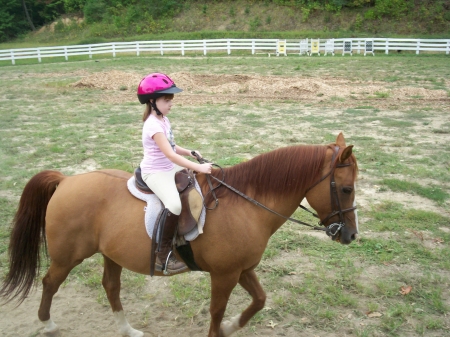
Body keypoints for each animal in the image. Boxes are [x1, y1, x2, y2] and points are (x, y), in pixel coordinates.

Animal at [0, 133, 358, 334]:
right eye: (346, 188)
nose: (351, 236)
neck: (246, 203)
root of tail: (65, 180)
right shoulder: (225, 275)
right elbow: (216, 312)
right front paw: (222, 328)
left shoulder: (242, 269)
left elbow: (259, 300)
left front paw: (232, 327)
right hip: (67, 256)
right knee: (49, 283)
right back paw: (47, 324)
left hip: (110, 253)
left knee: (111, 287)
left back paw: (128, 330)